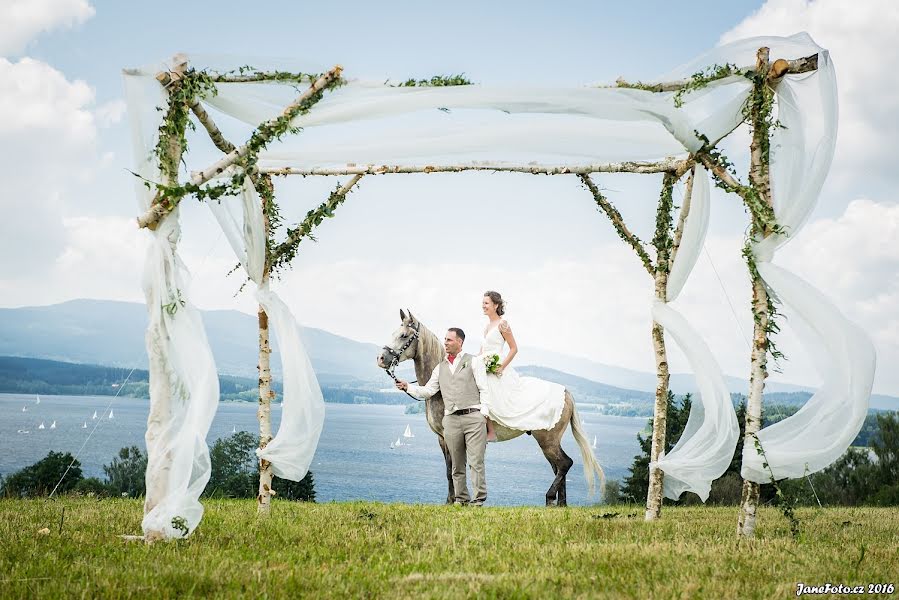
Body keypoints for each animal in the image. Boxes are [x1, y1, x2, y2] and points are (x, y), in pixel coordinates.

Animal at [376, 310, 600, 506]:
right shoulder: (442, 438)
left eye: (404, 335)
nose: (381, 359)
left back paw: (550, 497)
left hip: (547, 440)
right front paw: (450, 501)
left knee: (564, 464)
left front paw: (457, 500)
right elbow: (449, 470)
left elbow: (456, 467)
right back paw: (560, 504)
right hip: (548, 442)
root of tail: (565, 392)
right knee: (559, 467)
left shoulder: (451, 435)